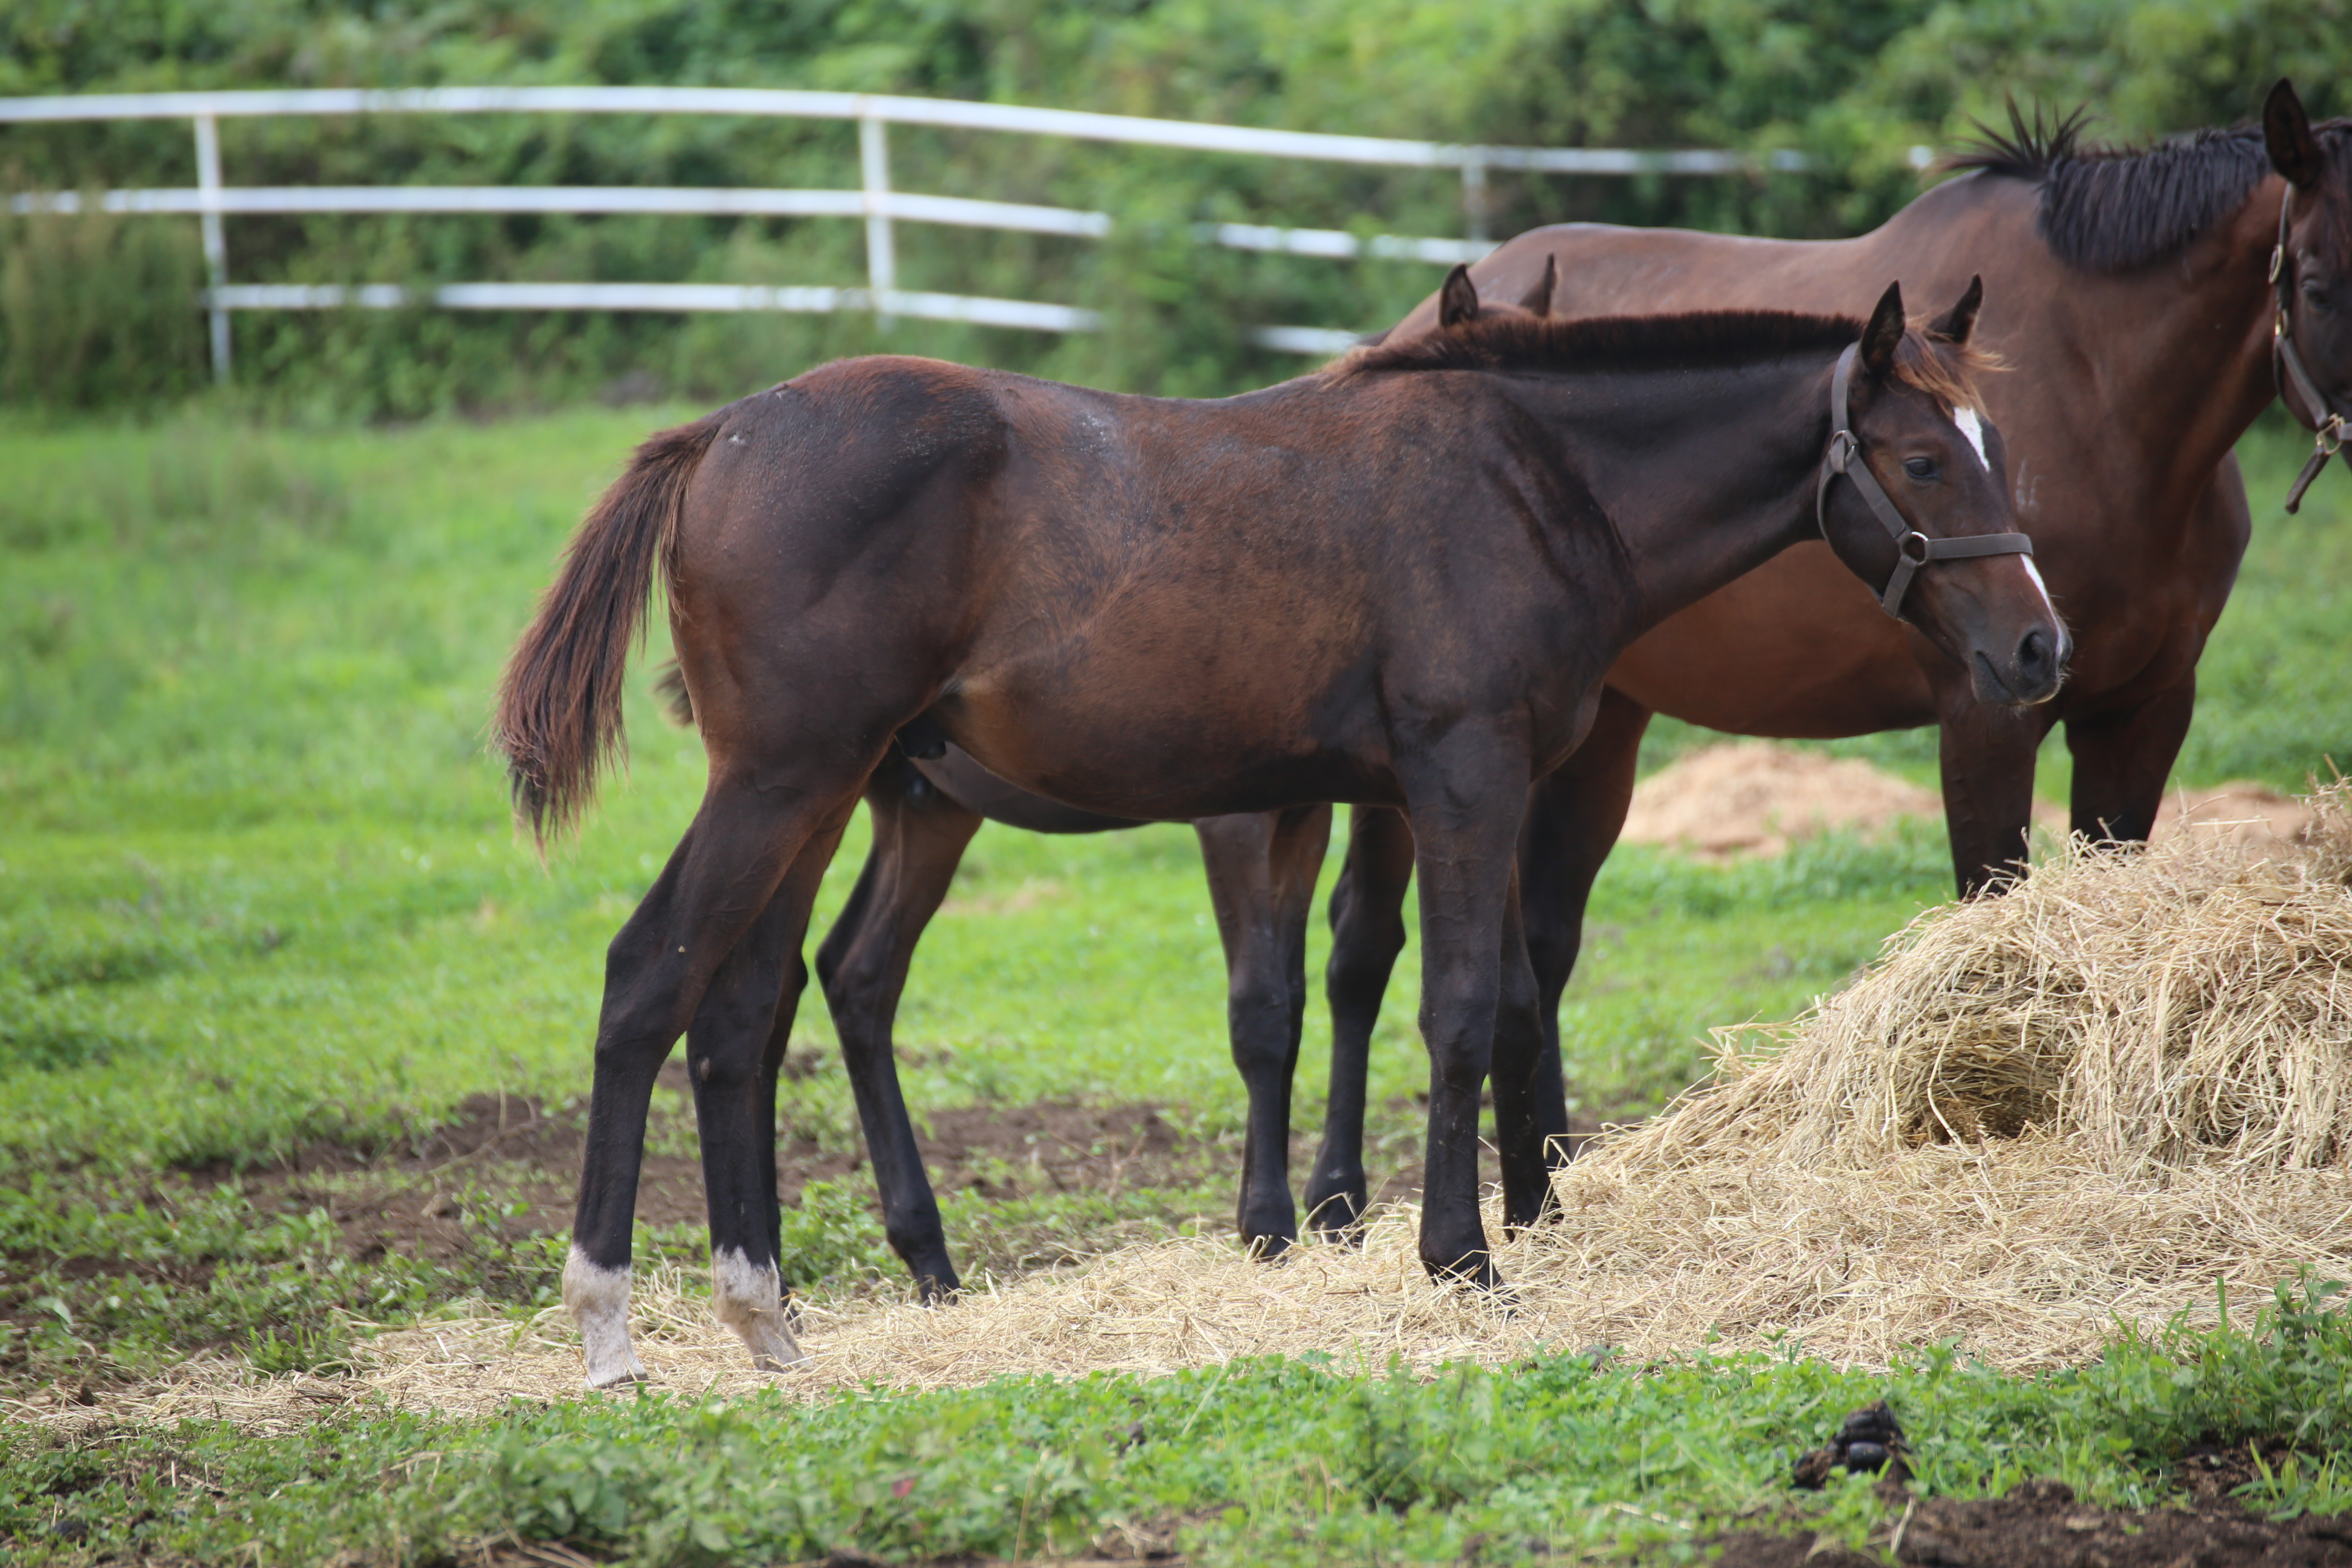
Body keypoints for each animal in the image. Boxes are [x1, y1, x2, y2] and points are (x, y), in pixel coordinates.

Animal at [496, 285, 2060, 1382]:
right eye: (1921, 460)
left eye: (1999, 453)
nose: (2041, 647)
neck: (1528, 482)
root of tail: (718, 437)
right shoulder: (1461, 777)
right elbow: (1456, 1010)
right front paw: (1460, 1258)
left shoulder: (1443, 794)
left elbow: (1488, 998)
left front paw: (1499, 1221)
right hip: (788, 779)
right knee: (648, 981)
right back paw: (611, 1332)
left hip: (824, 794)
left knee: (743, 1014)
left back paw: (768, 1319)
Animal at [1289, 80, 2352, 1241]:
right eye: (2315, 283)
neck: (2105, 393)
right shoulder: (1988, 707)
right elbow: (1987, 904)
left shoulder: (2146, 708)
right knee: (1361, 946)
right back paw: (1335, 1197)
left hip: (1599, 732)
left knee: (1545, 938)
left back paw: (1551, 1169)